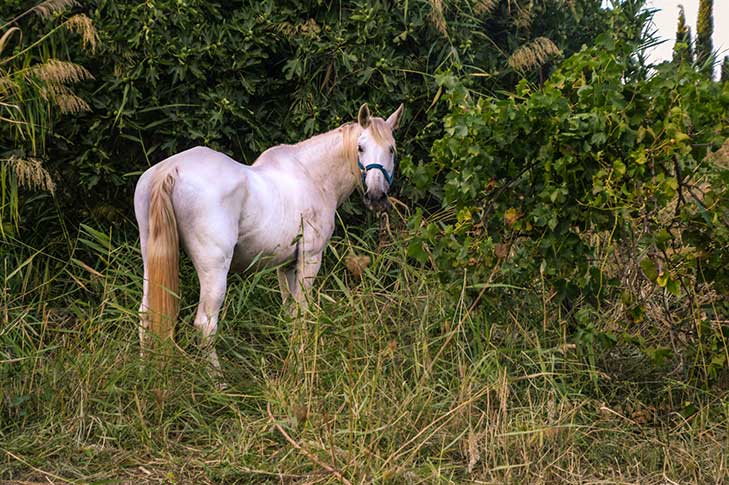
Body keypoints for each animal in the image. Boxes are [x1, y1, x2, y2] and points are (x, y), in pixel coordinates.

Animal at [132, 103, 404, 366]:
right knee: (205, 325)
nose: (376, 197)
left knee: (146, 315)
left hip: (150, 260)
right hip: (214, 270)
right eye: (360, 147)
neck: (312, 176)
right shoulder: (310, 258)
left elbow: (290, 312)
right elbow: (301, 312)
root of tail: (171, 169)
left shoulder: (286, 266)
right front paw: (300, 364)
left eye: (391, 149)